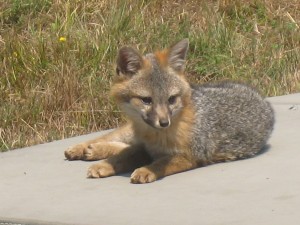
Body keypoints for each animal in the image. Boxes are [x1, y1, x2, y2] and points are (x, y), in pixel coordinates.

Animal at [65, 38, 274, 183]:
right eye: (146, 100)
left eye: (171, 99)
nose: (164, 122)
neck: (155, 136)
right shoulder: (145, 147)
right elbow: (123, 156)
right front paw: (106, 164)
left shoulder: (190, 155)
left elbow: (159, 163)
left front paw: (145, 170)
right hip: (128, 134)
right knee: (111, 139)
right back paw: (83, 148)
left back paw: (93, 150)